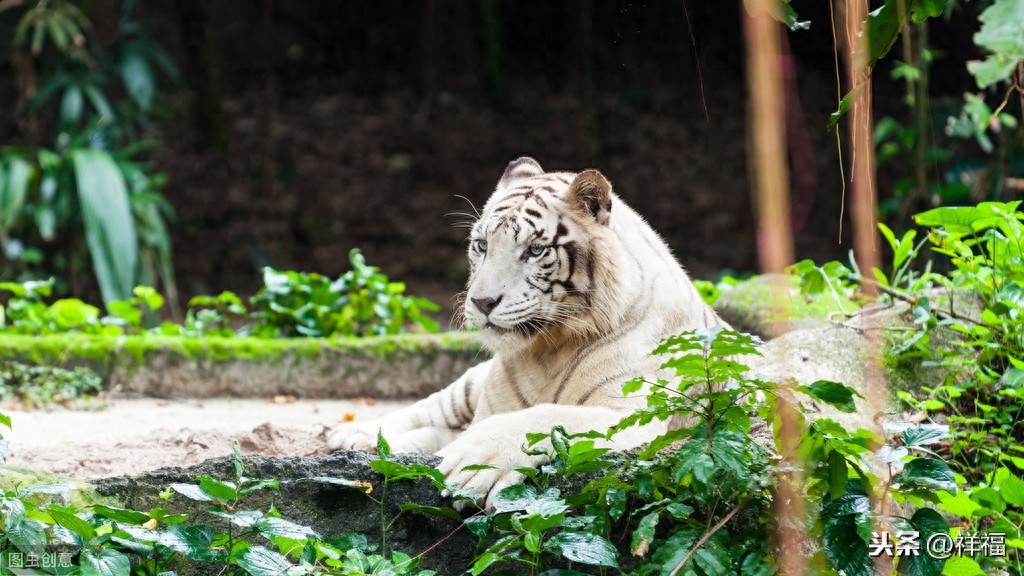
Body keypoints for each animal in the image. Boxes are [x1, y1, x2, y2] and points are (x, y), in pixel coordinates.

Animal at [326, 157, 724, 506]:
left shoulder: (630, 413)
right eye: (482, 245)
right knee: (432, 408)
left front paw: (473, 461)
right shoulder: (489, 403)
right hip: (469, 385)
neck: (548, 350)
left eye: (534, 250)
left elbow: (547, 415)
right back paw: (355, 435)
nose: (482, 301)